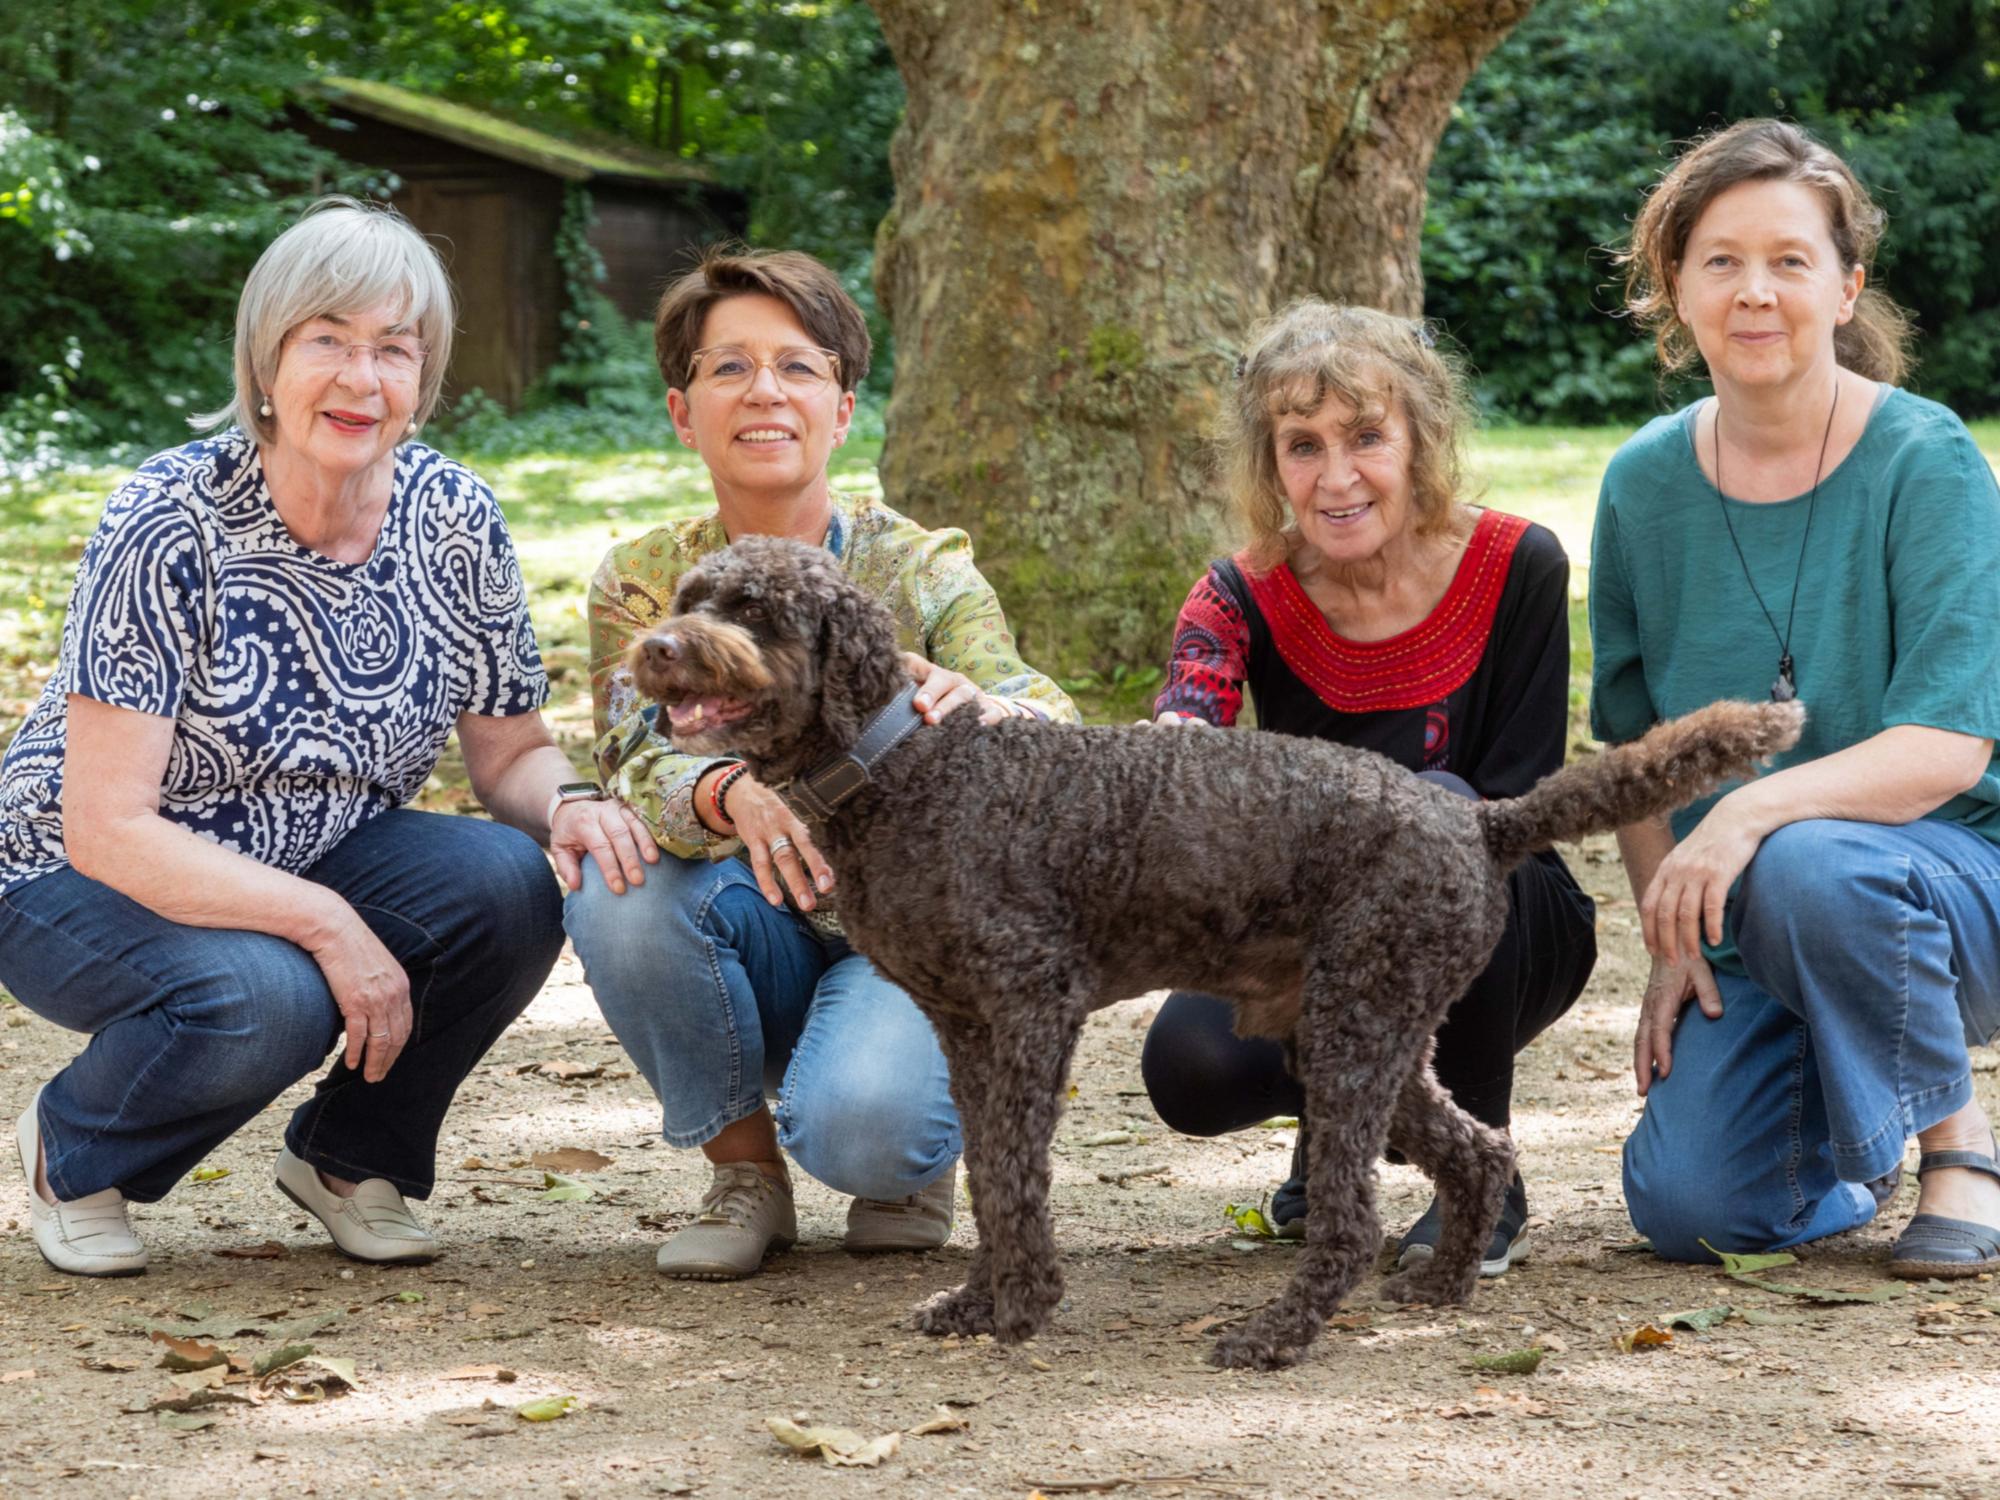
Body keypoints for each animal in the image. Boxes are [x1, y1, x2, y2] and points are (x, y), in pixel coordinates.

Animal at [632, 540, 1808, 1376]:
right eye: (690, 594)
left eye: (755, 612)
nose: (655, 650)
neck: (905, 768)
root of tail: (1476, 823)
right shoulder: (966, 1032)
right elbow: (990, 1177)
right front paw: (981, 1301)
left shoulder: (1030, 1009)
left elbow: (1014, 1177)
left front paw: (1022, 1308)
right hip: (1365, 1031)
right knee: (1476, 1147)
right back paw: (1441, 1289)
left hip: (1352, 1027)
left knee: (1349, 1218)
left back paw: (1276, 1335)